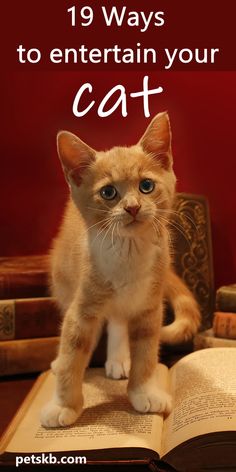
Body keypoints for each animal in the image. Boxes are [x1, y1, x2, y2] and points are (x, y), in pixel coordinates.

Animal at [40, 111, 201, 428]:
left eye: (146, 186)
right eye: (108, 192)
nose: (133, 207)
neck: (129, 255)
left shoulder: (150, 306)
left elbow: (146, 353)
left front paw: (143, 392)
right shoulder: (83, 307)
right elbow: (72, 352)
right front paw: (63, 405)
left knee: (117, 320)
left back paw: (118, 358)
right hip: (64, 280)